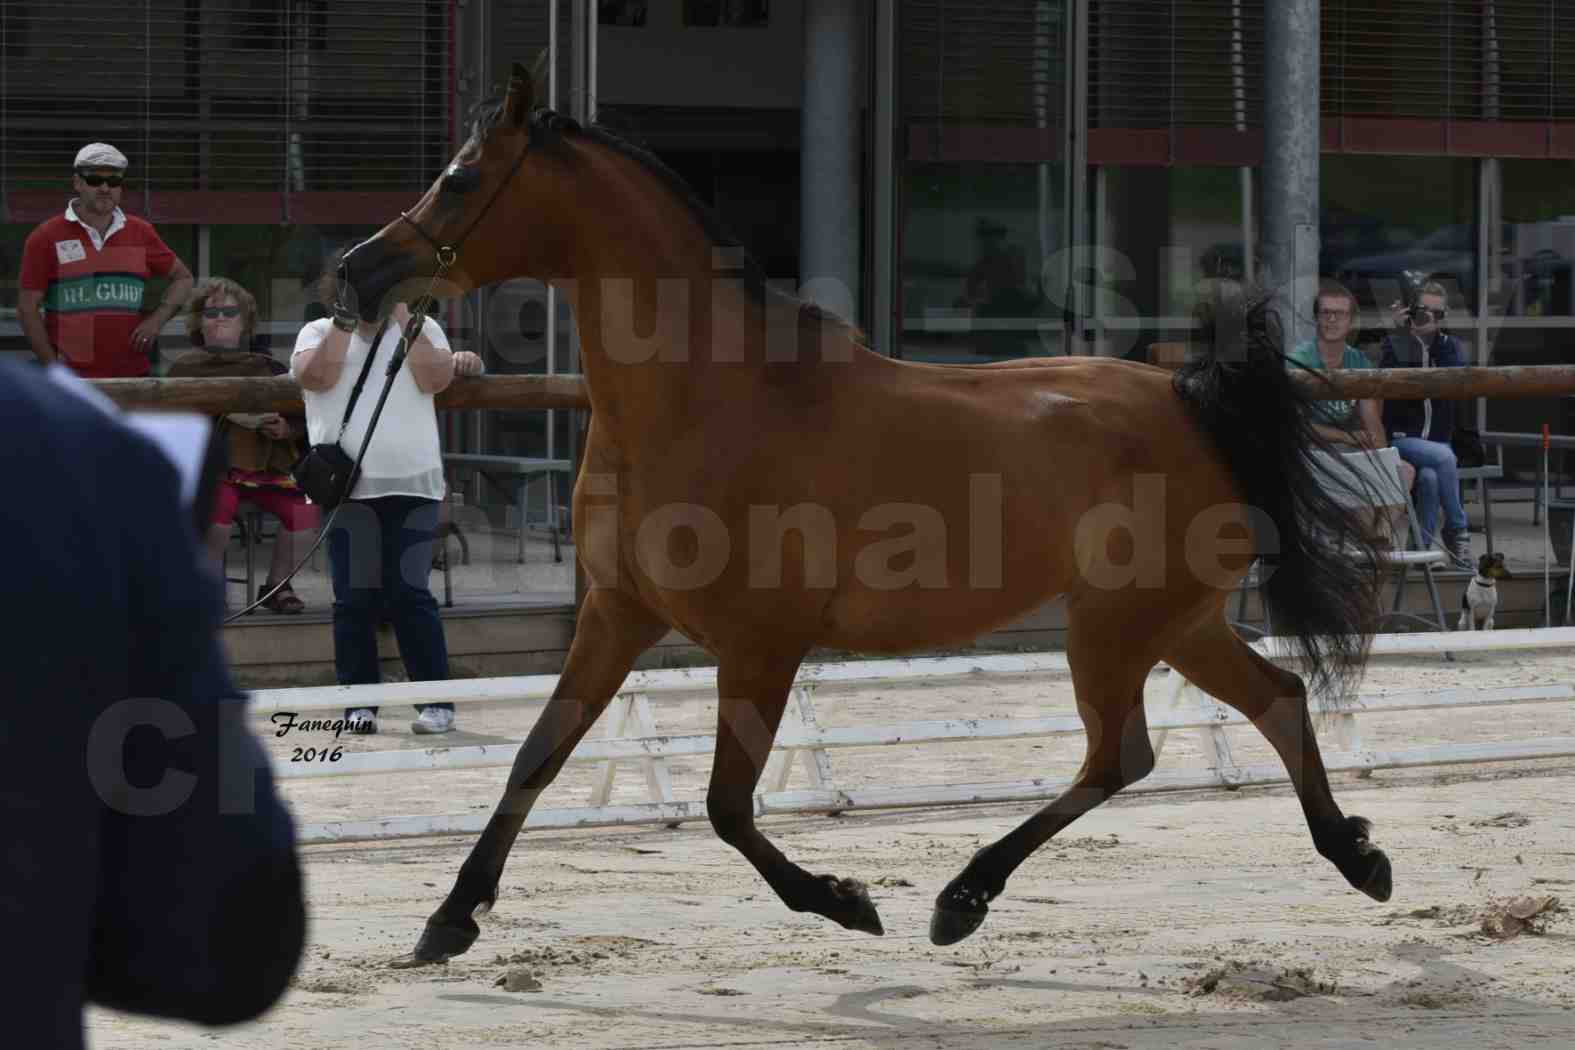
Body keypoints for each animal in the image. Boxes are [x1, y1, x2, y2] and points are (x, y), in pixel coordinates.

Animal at [344, 61, 1392, 963]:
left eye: (460, 179)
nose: (357, 273)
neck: (707, 395)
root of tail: (1187, 400)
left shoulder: (758, 644)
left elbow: (727, 807)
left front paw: (846, 902)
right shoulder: (615, 614)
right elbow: (534, 758)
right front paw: (449, 920)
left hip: (1114, 626)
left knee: (1120, 754)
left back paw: (962, 897)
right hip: (1172, 621)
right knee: (1272, 700)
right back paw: (1358, 858)